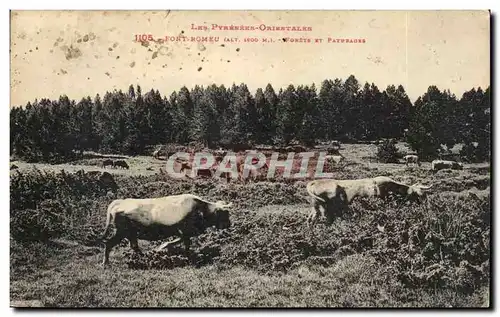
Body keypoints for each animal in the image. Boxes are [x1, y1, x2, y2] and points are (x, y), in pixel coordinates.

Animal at [98, 193, 233, 264]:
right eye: (224, 213)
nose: (229, 224)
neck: (200, 209)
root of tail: (120, 202)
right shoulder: (185, 231)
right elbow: (186, 244)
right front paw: (188, 257)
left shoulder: (182, 233)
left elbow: (176, 242)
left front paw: (162, 247)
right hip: (122, 232)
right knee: (109, 243)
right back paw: (106, 263)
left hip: (131, 233)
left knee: (134, 246)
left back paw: (145, 257)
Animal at [304, 175, 434, 225]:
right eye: (419, 195)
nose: (427, 206)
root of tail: (314, 182)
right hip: (324, 209)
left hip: (315, 207)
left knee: (310, 219)